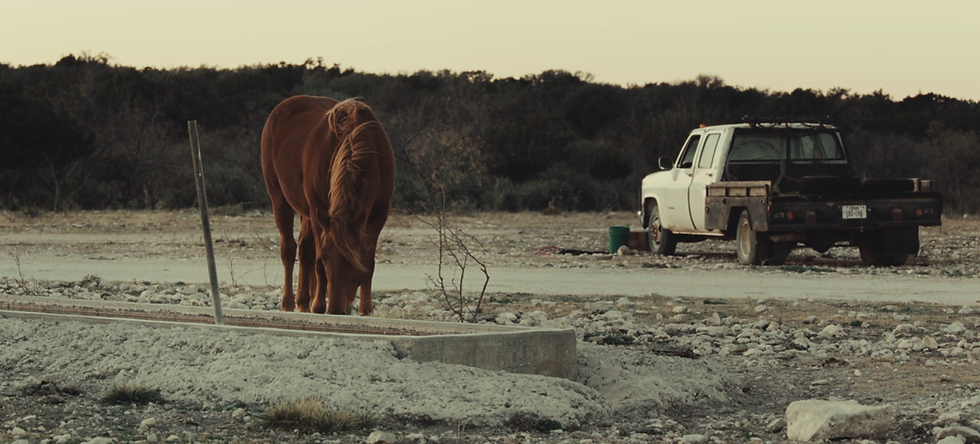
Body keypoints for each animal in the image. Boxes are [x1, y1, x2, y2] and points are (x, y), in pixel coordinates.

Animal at [260, 96, 395, 315]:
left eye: (353, 262)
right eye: (325, 260)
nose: (336, 309)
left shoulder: (379, 212)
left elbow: (369, 261)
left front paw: (366, 308)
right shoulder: (319, 209)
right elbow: (315, 257)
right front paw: (318, 305)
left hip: (306, 211)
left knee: (305, 248)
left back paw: (303, 302)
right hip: (279, 198)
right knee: (289, 248)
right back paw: (289, 303)